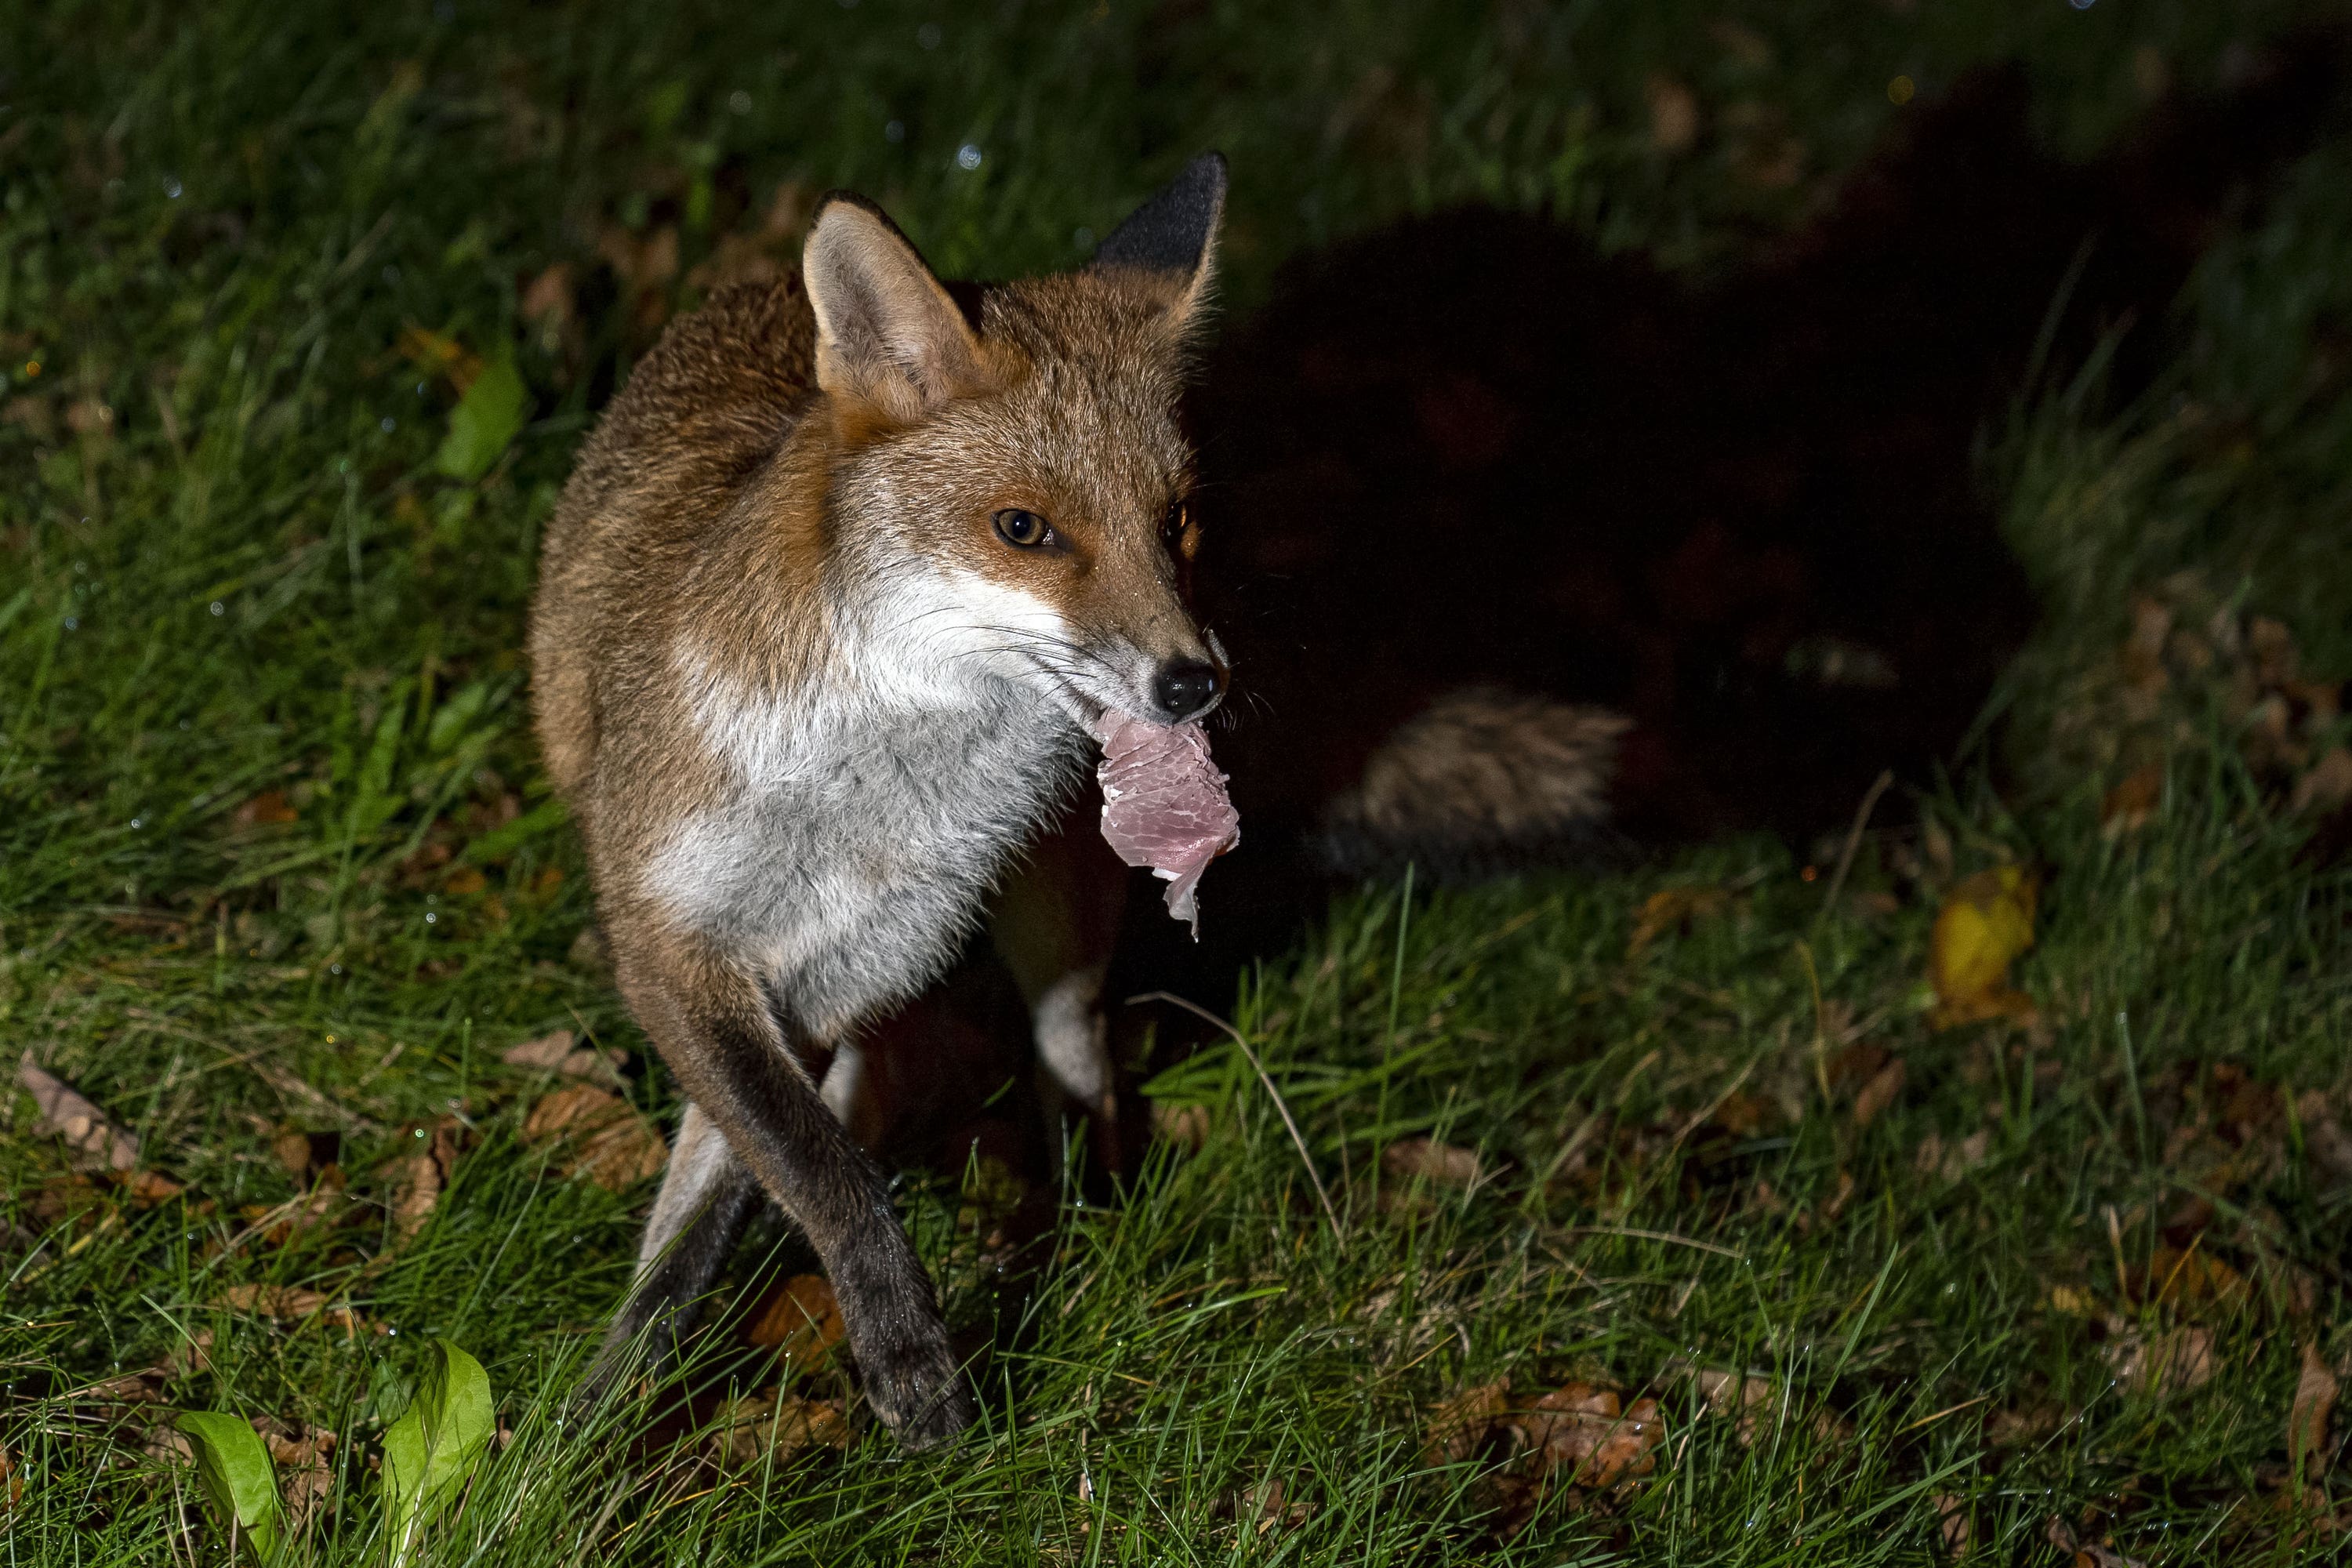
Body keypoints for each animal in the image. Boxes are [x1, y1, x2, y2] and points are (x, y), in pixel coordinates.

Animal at [532, 159, 1232, 1448]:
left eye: (1178, 521)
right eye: (1023, 529)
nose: (1193, 684)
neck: (869, 793)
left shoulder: (846, 963)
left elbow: (787, 1175)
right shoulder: (680, 947)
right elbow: (798, 1177)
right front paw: (598, 1425)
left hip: (1057, 920)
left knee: (1073, 1055)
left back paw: (1086, 1217)